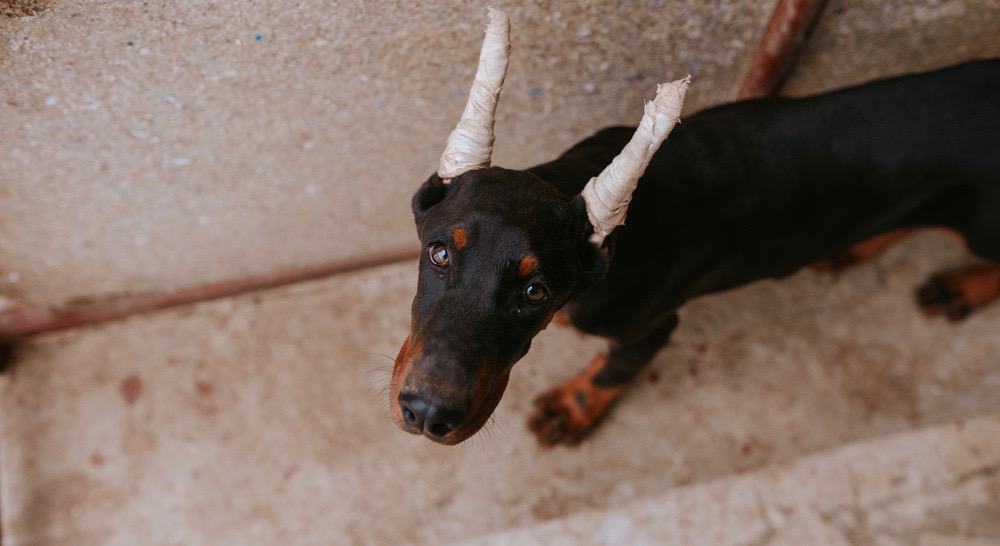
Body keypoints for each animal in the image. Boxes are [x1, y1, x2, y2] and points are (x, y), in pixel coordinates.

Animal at [388, 9, 1000, 442]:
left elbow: (614, 371)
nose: (427, 412)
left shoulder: (650, 326)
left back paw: (960, 288)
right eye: (439, 253)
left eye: (537, 291)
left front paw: (571, 410)